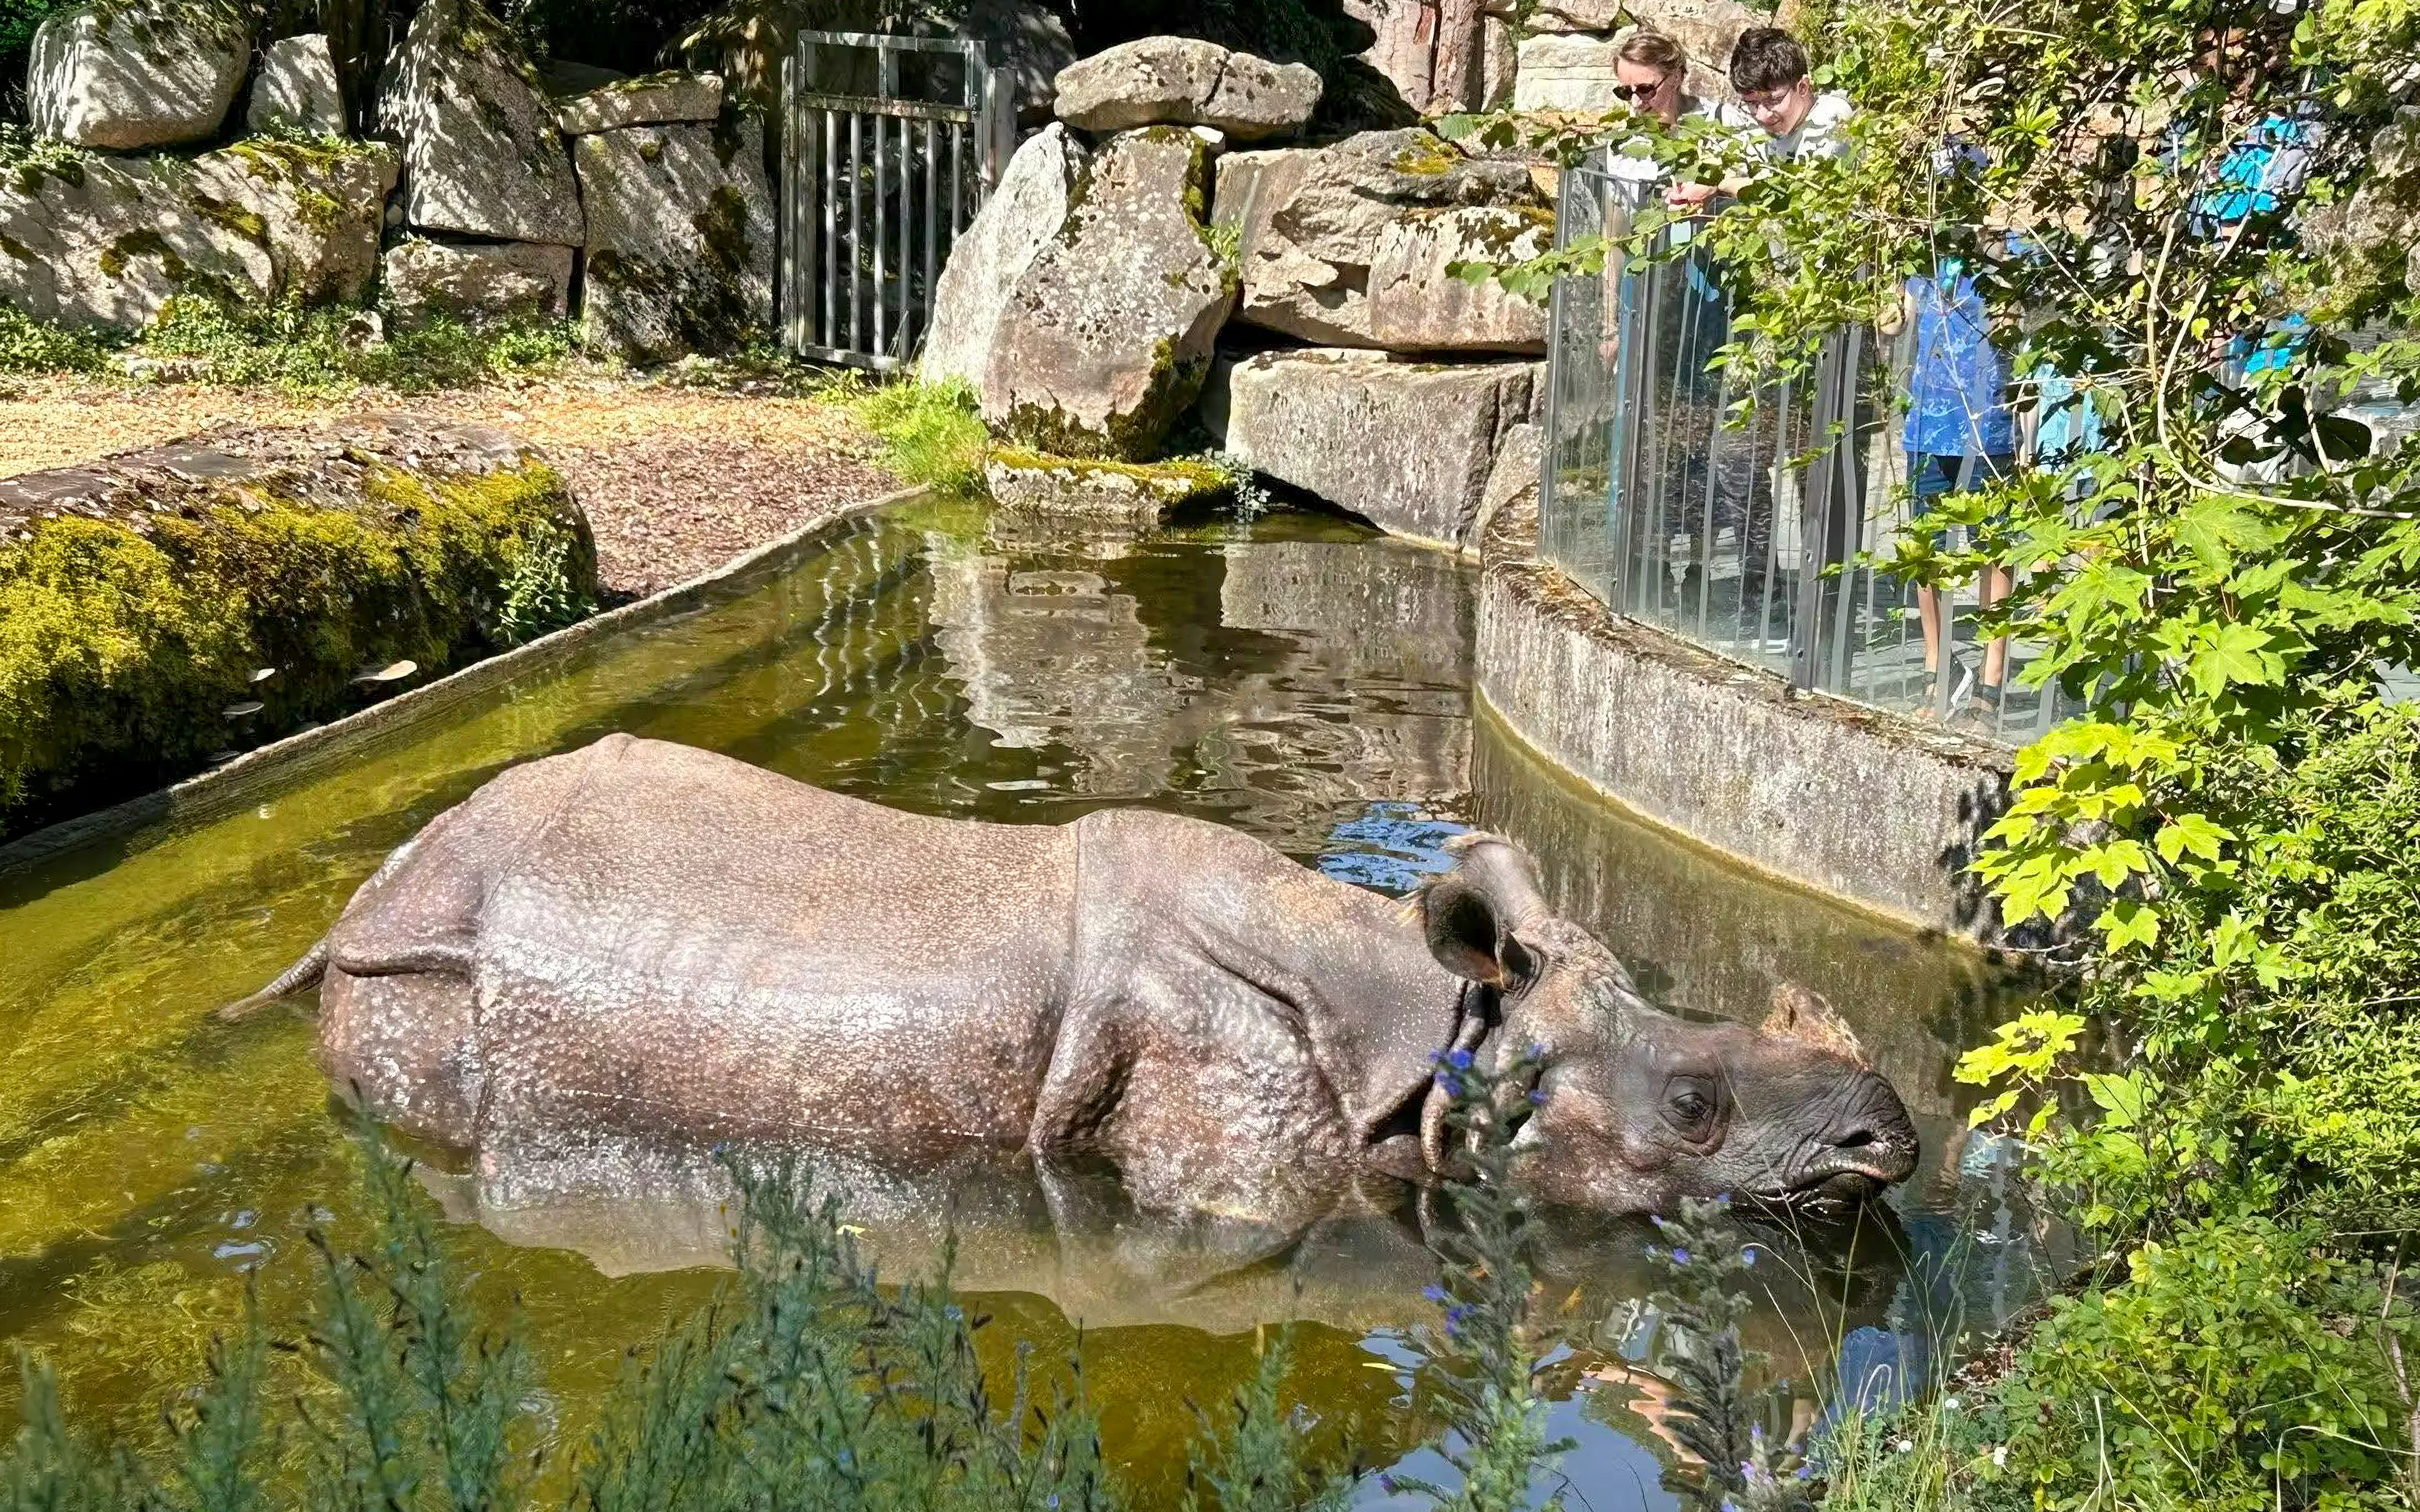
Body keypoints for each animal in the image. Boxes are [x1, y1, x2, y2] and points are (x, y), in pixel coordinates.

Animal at [231, 734, 1918, 1217]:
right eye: (1692, 1108)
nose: (1889, 1137)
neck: (1432, 1022)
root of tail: (374, 885)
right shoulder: (1230, 1163)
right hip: (425, 983)